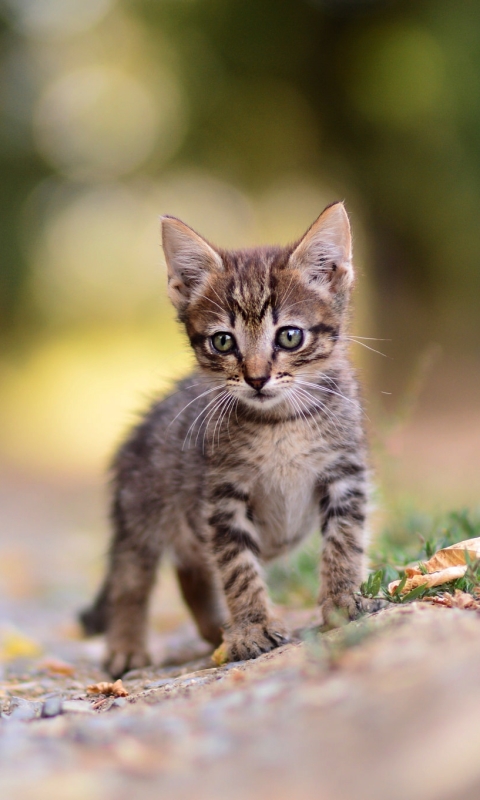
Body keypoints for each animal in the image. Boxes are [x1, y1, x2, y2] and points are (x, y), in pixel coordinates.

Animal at [80, 200, 376, 676]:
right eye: (222, 342)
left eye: (289, 335)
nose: (256, 378)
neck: (280, 424)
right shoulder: (222, 495)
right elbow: (237, 567)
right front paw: (251, 629)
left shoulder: (344, 472)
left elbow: (344, 540)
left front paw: (343, 601)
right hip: (139, 515)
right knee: (131, 578)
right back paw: (128, 647)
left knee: (190, 572)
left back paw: (214, 629)